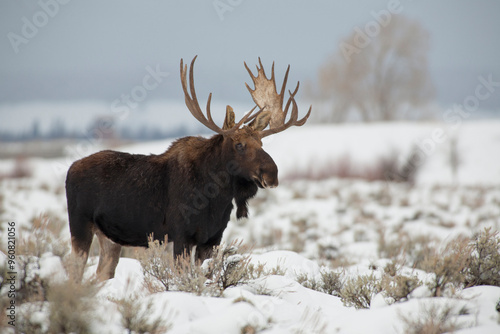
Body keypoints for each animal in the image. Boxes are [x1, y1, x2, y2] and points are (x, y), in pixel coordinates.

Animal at [65, 56, 308, 280]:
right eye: (239, 144)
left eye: (262, 144)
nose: (272, 174)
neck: (215, 198)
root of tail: (71, 168)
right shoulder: (181, 235)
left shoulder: (211, 239)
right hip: (79, 225)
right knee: (75, 272)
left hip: (110, 237)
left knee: (101, 273)